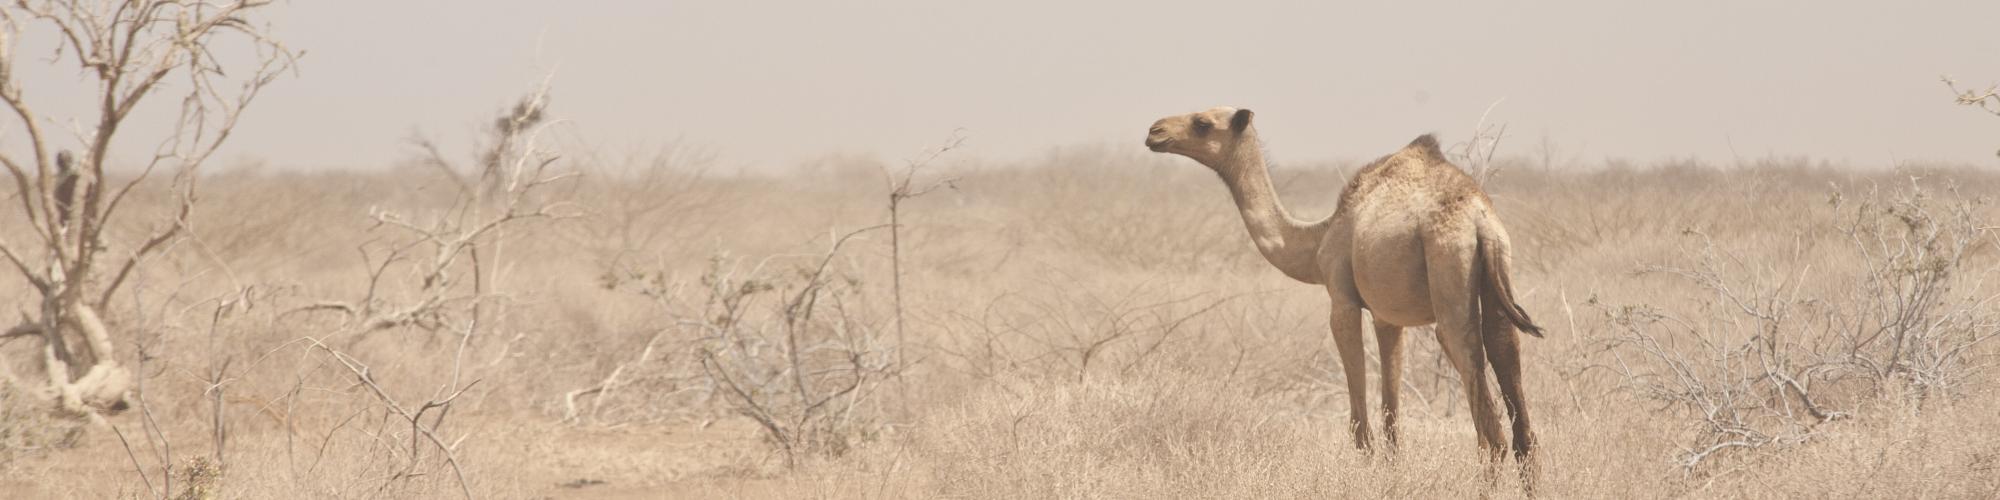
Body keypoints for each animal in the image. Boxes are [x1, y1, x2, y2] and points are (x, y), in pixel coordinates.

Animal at [1144, 106, 1544, 488]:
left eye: (1202, 123)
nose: (1154, 131)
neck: (1317, 239)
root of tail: (1480, 222)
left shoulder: (1342, 300)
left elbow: (1360, 424)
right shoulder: (1387, 318)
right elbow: (1391, 417)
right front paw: (1391, 478)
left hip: (1448, 268)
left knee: (1487, 422)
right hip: (1496, 275)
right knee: (1516, 402)